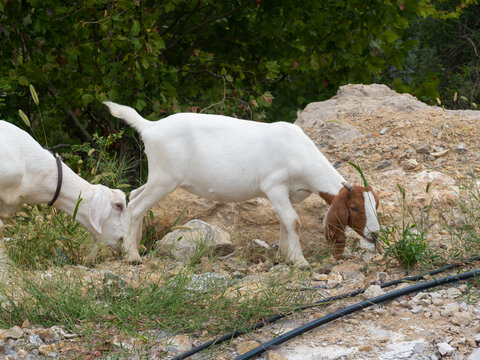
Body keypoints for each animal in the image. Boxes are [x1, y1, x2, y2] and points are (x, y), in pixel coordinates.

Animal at [103, 101, 380, 268]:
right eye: (354, 208)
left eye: (374, 205)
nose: (375, 235)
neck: (299, 153)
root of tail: (150, 127)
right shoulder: (274, 186)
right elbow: (293, 220)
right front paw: (300, 262)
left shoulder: (287, 194)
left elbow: (285, 221)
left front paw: (284, 256)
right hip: (165, 178)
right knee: (137, 205)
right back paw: (133, 256)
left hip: (158, 177)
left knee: (134, 195)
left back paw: (135, 244)